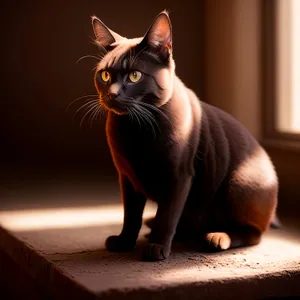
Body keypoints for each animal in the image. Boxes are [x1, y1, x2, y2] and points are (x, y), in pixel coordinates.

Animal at [90, 11, 278, 260]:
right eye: (104, 75)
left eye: (134, 76)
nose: (112, 94)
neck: (136, 127)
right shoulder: (127, 178)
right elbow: (131, 215)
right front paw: (124, 241)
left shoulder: (178, 177)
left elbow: (167, 215)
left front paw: (157, 247)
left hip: (239, 183)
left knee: (253, 233)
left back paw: (217, 237)